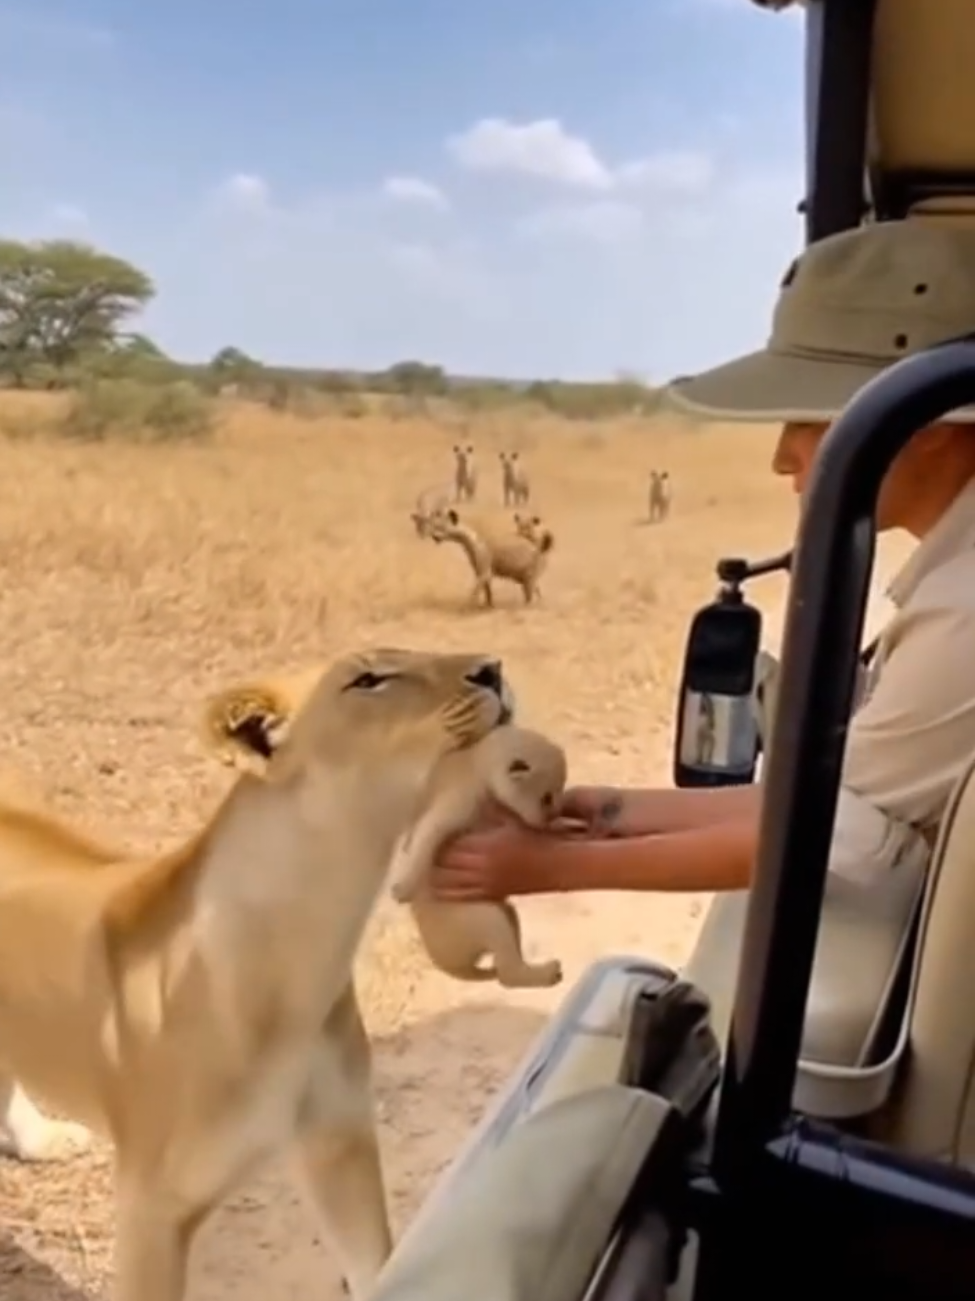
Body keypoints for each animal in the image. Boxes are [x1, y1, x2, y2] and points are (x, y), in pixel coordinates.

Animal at [387, 725, 565, 989]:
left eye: (557, 795)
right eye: (546, 798)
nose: (552, 817)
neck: (477, 763)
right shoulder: (455, 804)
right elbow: (425, 837)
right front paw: (404, 888)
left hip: (504, 912)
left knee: (504, 968)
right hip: (487, 917)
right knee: (507, 974)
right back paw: (547, 973)